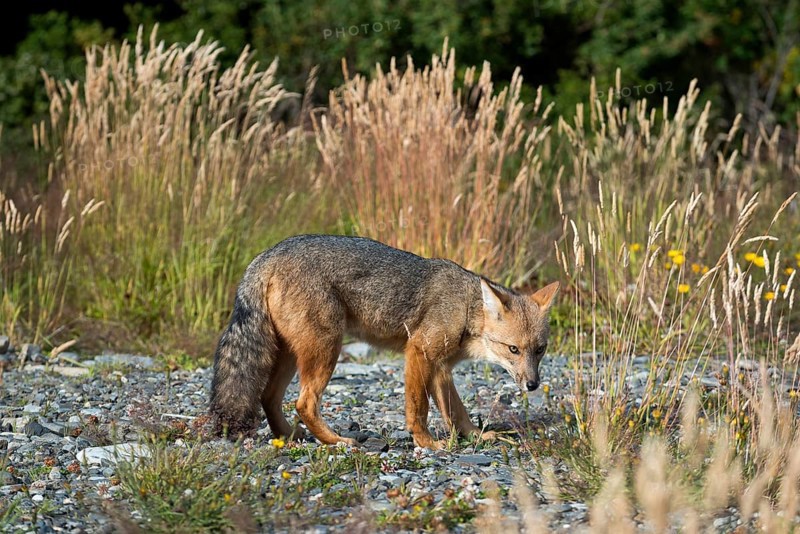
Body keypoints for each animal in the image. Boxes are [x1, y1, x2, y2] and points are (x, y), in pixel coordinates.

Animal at [209, 234, 559, 449]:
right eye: (513, 349)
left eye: (539, 350)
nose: (532, 385)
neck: (466, 307)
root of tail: (268, 254)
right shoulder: (419, 352)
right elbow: (419, 408)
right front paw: (426, 443)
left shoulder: (441, 367)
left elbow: (456, 411)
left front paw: (477, 436)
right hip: (326, 350)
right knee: (303, 403)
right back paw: (337, 442)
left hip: (290, 356)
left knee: (268, 397)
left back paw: (291, 436)